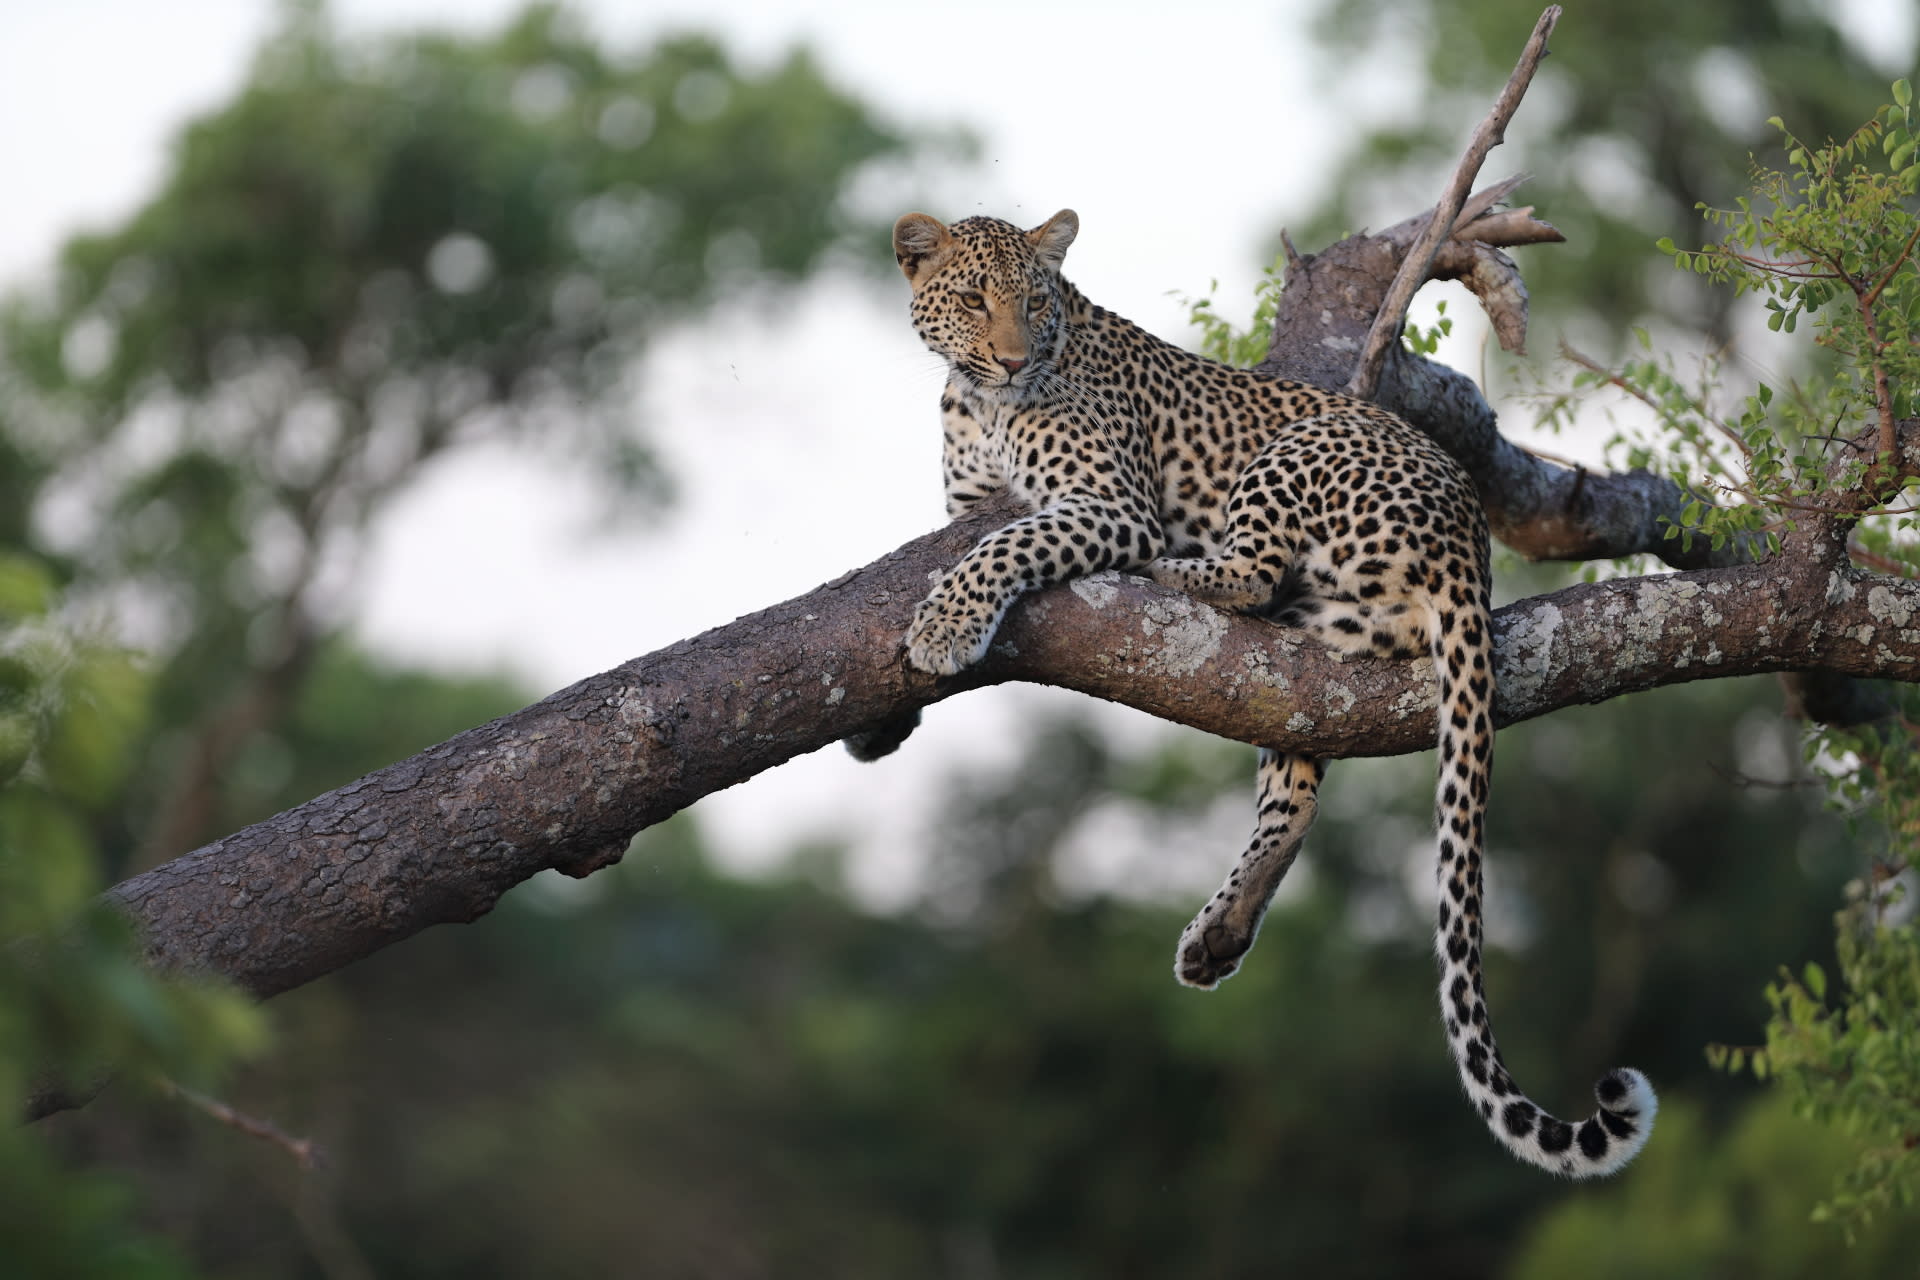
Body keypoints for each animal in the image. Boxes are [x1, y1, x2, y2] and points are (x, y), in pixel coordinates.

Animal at [882, 206, 1658, 1177]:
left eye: (1036, 302)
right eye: (974, 300)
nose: (1017, 360)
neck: (979, 403)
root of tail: (1470, 548)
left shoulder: (1107, 505)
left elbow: (1005, 545)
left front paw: (945, 626)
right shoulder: (970, 504)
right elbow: (972, 540)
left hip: (1295, 450)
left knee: (1246, 576)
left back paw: (1173, 572)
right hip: (1314, 649)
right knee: (1296, 774)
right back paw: (1220, 932)